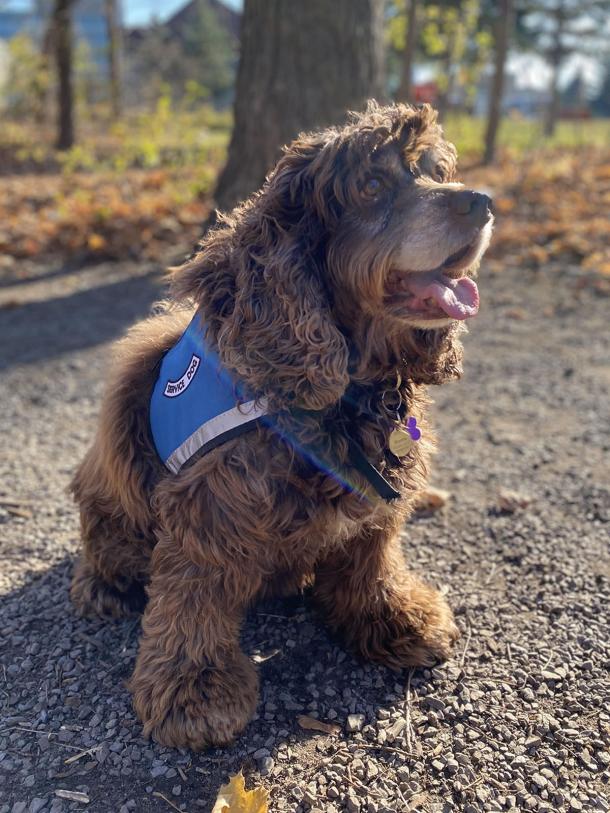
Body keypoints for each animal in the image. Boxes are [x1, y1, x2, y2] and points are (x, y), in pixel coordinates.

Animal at [70, 101, 490, 748]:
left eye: (432, 172)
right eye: (372, 187)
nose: (482, 200)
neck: (347, 393)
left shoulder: (377, 499)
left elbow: (371, 559)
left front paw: (393, 617)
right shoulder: (213, 508)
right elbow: (195, 598)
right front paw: (195, 689)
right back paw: (103, 586)